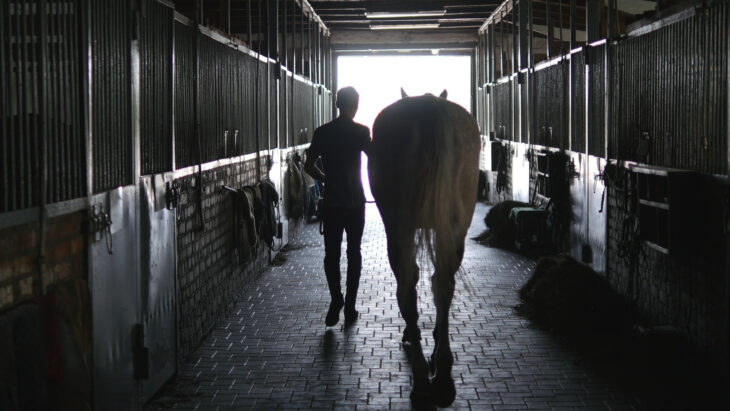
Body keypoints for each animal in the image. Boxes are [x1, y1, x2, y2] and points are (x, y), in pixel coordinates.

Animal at [368, 89, 480, 408]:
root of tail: (429, 105)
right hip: (454, 227)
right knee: (443, 283)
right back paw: (441, 370)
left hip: (398, 226)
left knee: (408, 281)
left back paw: (421, 371)